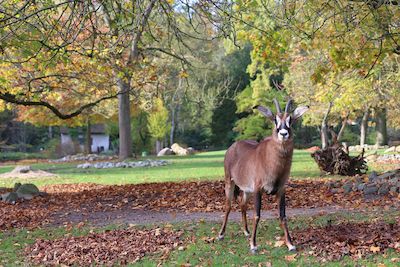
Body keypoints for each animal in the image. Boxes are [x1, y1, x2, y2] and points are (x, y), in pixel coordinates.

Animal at [219, 99, 310, 254]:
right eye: (275, 120)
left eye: (290, 120)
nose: (283, 133)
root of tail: (233, 147)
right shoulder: (258, 190)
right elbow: (257, 215)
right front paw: (253, 245)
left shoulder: (281, 190)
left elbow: (283, 216)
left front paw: (290, 244)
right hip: (229, 182)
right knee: (228, 205)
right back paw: (221, 234)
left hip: (246, 190)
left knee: (242, 204)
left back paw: (246, 231)